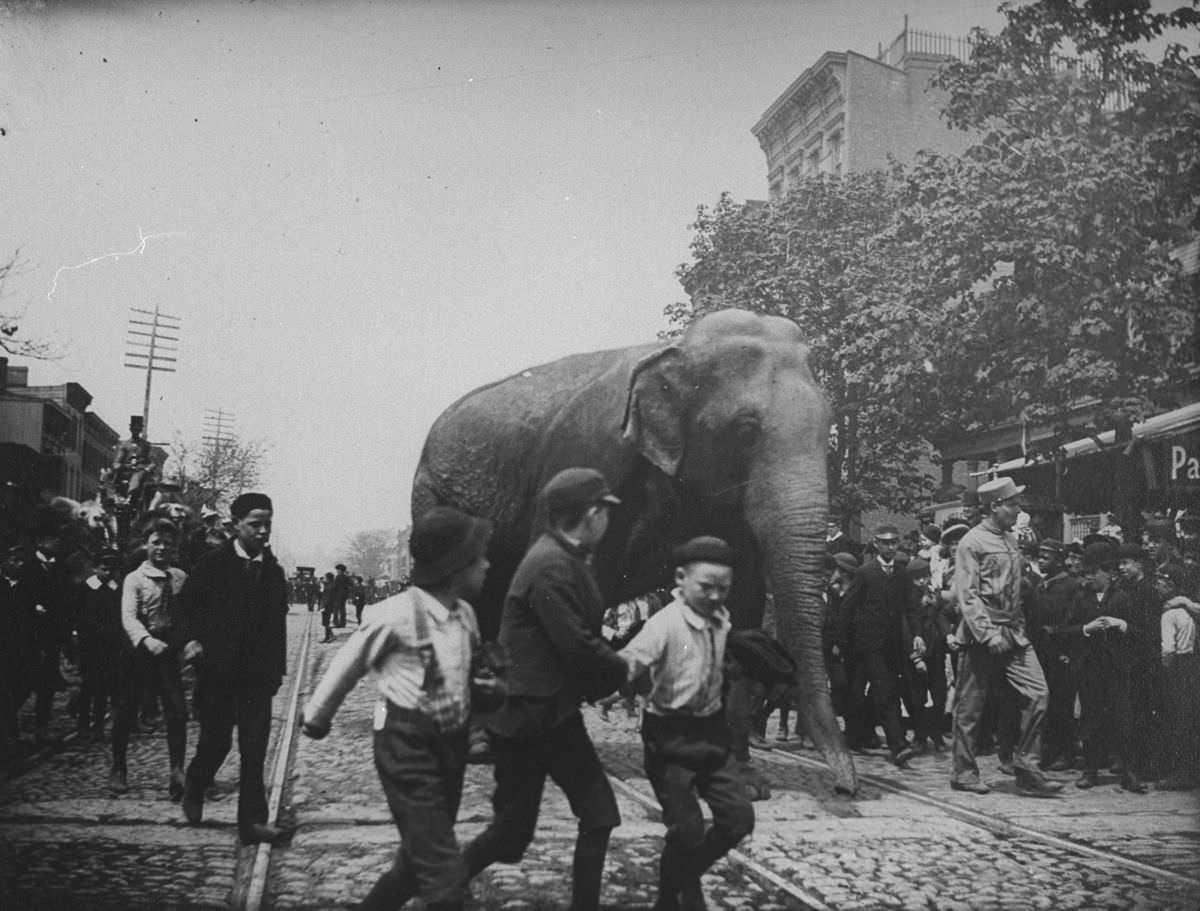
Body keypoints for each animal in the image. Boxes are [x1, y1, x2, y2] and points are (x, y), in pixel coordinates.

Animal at [415, 307, 864, 796]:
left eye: (828, 425)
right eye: (746, 431)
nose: (846, 787)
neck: (678, 350)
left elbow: (742, 599)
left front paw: (743, 780)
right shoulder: (590, 458)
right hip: (435, 503)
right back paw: (482, 746)